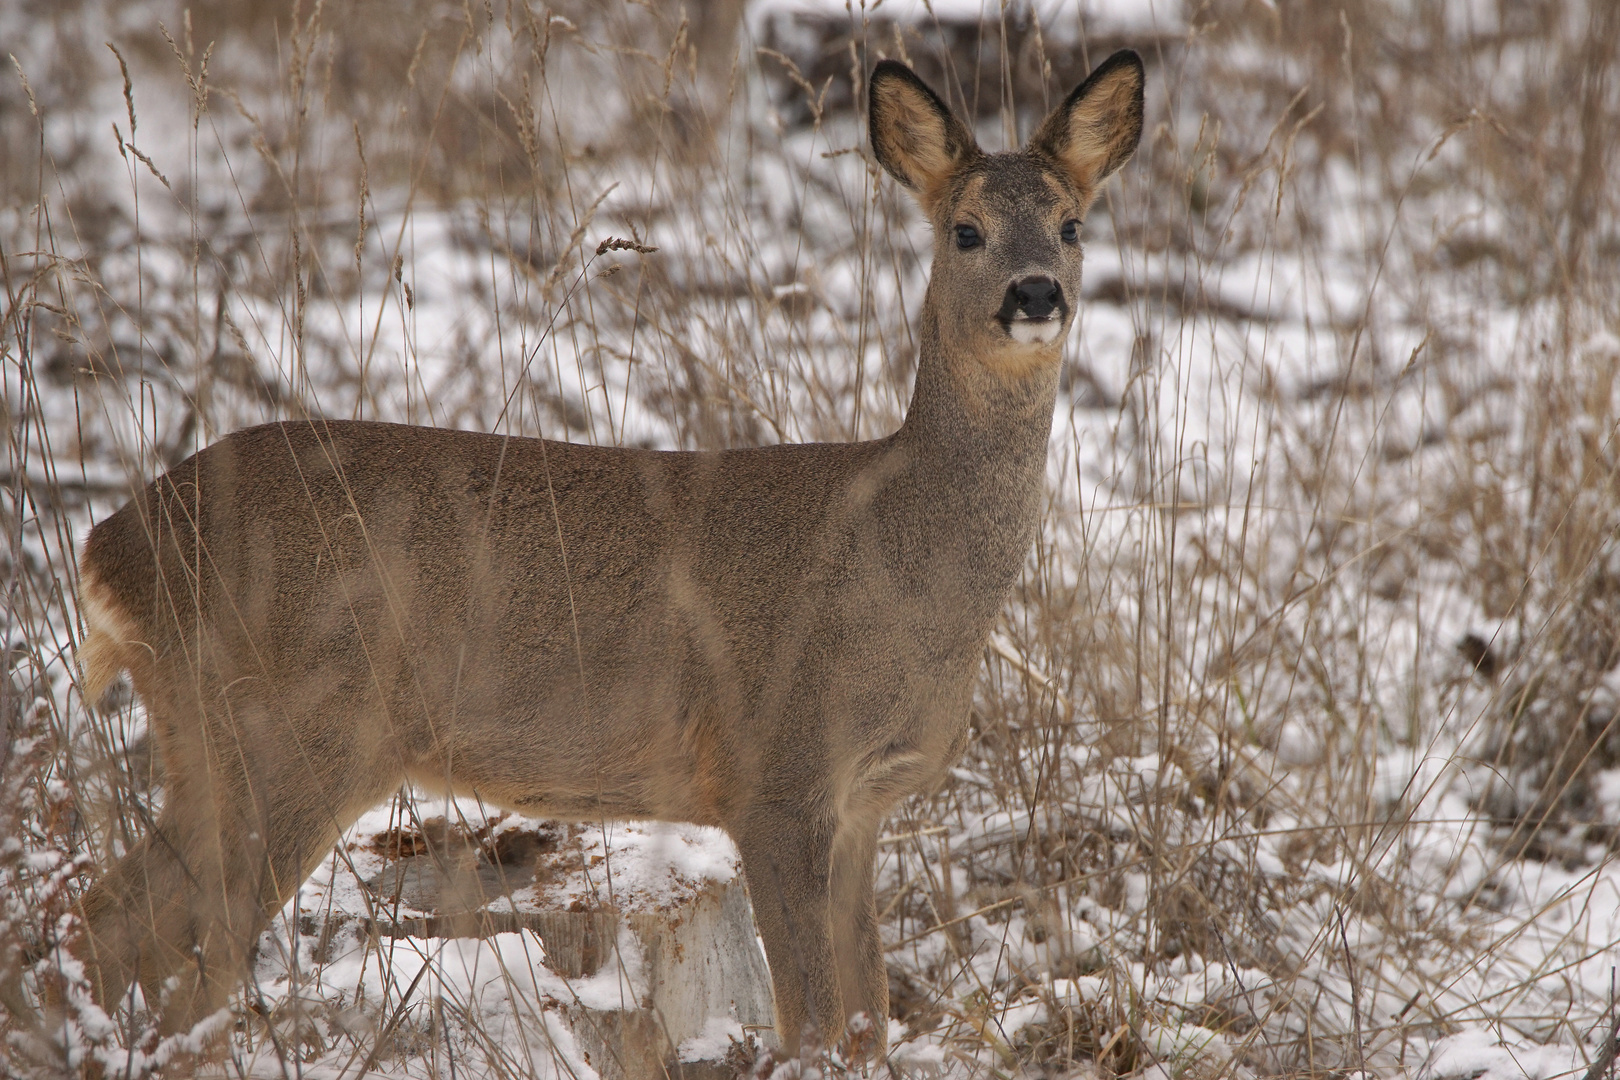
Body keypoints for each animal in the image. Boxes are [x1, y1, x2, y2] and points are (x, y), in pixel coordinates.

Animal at [72, 50, 1140, 1055]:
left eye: (1073, 225)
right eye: (965, 231)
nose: (1036, 293)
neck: (906, 566)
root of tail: (108, 546)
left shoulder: (866, 805)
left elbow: (868, 1017)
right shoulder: (774, 773)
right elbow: (812, 1021)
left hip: (216, 739)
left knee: (119, 921)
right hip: (287, 735)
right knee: (171, 939)